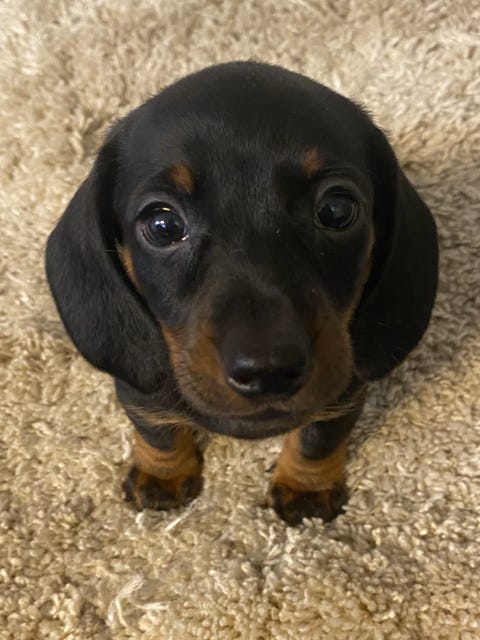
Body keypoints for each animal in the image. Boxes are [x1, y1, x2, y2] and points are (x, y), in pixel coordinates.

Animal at [46, 61, 438, 525]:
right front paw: (162, 475)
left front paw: (307, 487)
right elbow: (158, 430)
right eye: (163, 225)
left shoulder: (344, 391)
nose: (267, 371)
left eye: (336, 209)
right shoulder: (139, 387)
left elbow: (318, 438)